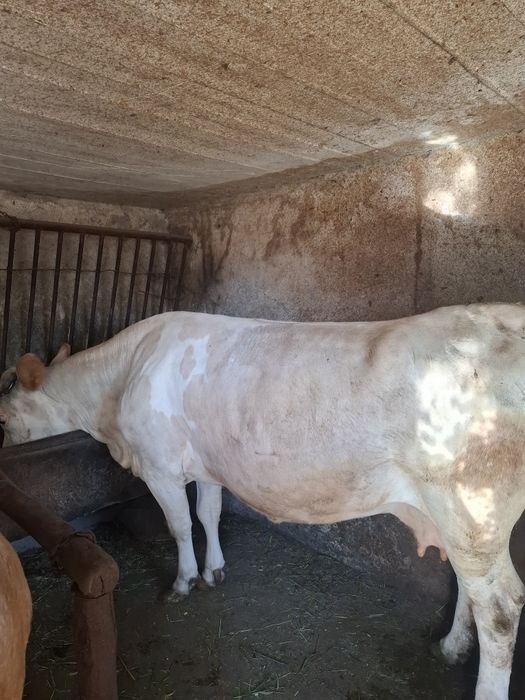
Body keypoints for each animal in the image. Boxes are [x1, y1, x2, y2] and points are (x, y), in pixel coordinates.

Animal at [0, 303, 524, 700]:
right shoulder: (207, 463)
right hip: (463, 521)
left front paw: (184, 581)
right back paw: (451, 647)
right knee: (468, 588)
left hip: (470, 505)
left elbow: (179, 525)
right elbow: (208, 514)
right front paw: (214, 569)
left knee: (500, 607)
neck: (121, 384)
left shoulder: (160, 466)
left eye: (4, 413)